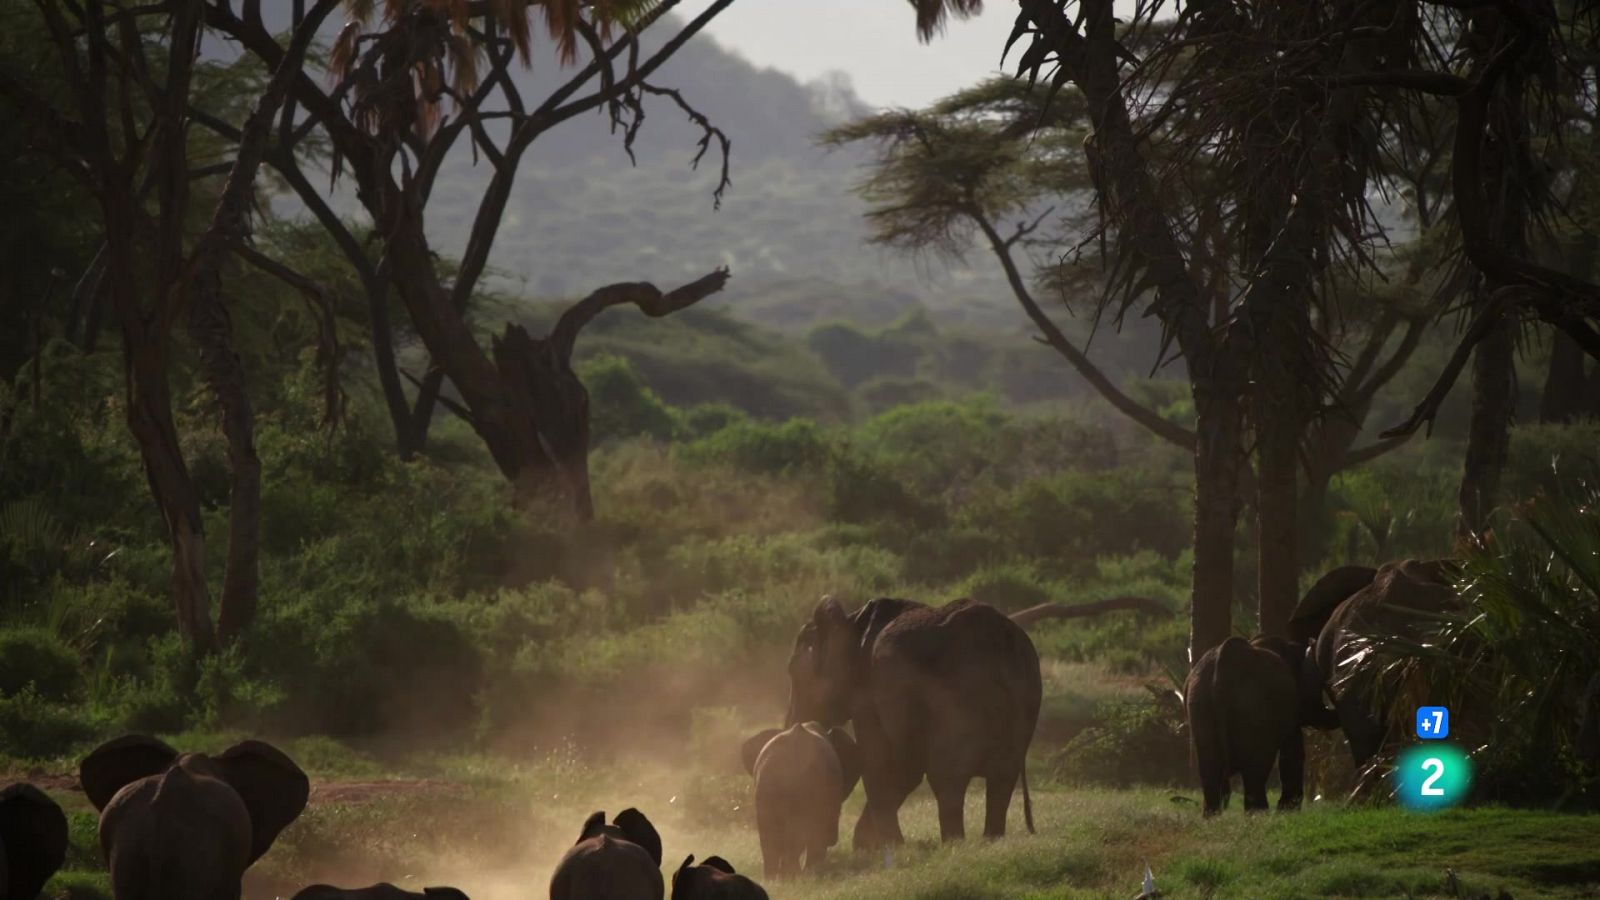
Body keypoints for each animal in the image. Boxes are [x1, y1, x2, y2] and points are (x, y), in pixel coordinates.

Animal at [784, 595, 1036, 845]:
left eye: (793, 672)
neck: (852, 622)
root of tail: (1000, 636)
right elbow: (906, 768)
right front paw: (871, 846)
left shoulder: (869, 694)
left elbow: (881, 761)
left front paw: (886, 847)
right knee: (1000, 779)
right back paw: (990, 841)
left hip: (956, 698)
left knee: (947, 777)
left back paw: (954, 843)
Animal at [1184, 630, 1305, 813]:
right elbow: (1293, 749)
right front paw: (1287, 810)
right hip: (1251, 703)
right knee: (1256, 767)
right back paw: (1258, 814)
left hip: (1199, 698)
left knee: (1210, 765)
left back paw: (1212, 815)